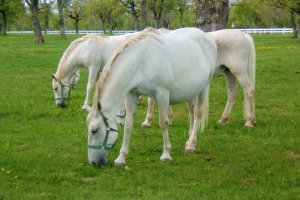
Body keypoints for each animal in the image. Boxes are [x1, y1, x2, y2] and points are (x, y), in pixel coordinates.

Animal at [85, 27, 217, 166]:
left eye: (94, 130)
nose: (94, 162)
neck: (141, 61)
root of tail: (207, 37)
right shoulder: (132, 95)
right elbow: (128, 126)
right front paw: (121, 158)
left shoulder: (162, 94)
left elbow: (163, 123)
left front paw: (166, 154)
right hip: (191, 91)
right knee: (191, 111)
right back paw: (189, 139)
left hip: (204, 87)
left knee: (198, 113)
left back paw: (191, 145)